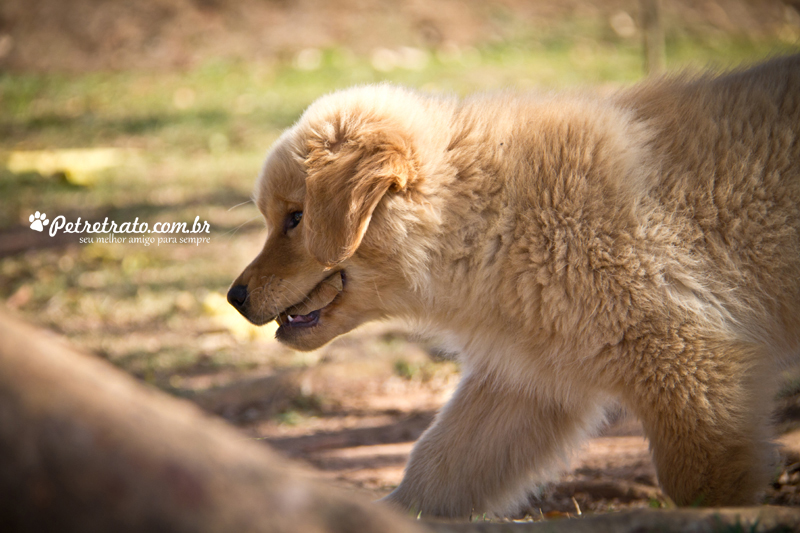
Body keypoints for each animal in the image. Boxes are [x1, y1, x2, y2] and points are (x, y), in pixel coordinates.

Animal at [228, 56, 800, 516]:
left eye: (295, 219)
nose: (234, 298)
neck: (497, 219)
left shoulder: (690, 364)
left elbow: (698, 485)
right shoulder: (526, 379)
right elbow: (439, 464)